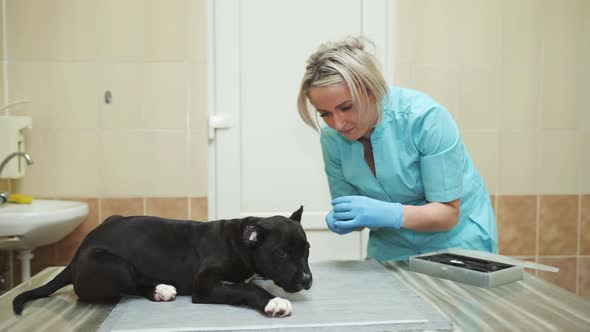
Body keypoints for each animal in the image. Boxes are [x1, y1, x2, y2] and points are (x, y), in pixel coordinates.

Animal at [11, 206, 312, 318]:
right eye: (282, 253)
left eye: (307, 250)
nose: (307, 280)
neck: (239, 242)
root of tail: (77, 254)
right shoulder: (204, 285)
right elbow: (245, 287)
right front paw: (273, 301)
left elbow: (249, 281)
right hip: (114, 265)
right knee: (130, 283)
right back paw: (159, 288)